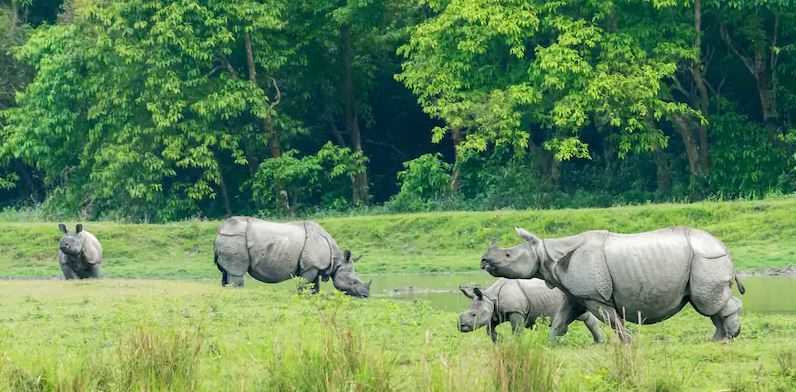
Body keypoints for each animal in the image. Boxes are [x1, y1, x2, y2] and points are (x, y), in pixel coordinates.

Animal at [213, 217, 372, 298]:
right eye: (354, 282)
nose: (366, 295)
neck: (336, 260)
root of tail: (220, 230)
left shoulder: (314, 266)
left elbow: (314, 285)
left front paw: (313, 296)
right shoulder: (310, 266)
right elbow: (305, 284)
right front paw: (301, 296)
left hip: (230, 239)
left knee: (226, 272)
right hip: (235, 238)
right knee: (236, 272)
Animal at [458, 278, 600, 344]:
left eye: (473, 314)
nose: (461, 326)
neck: (490, 298)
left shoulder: (516, 311)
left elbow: (516, 330)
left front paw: (518, 343)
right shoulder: (496, 313)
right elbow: (489, 329)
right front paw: (499, 340)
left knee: (584, 316)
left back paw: (597, 343)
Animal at [478, 227, 748, 340]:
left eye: (508, 255)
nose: (483, 261)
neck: (547, 253)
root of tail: (724, 247)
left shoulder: (595, 295)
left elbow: (612, 321)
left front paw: (628, 342)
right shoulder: (578, 295)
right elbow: (560, 321)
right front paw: (551, 344)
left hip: (707, 258)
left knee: (707, 302)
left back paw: (728, 336)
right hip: (704, 259)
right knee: (708, 304)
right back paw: (719, 339)